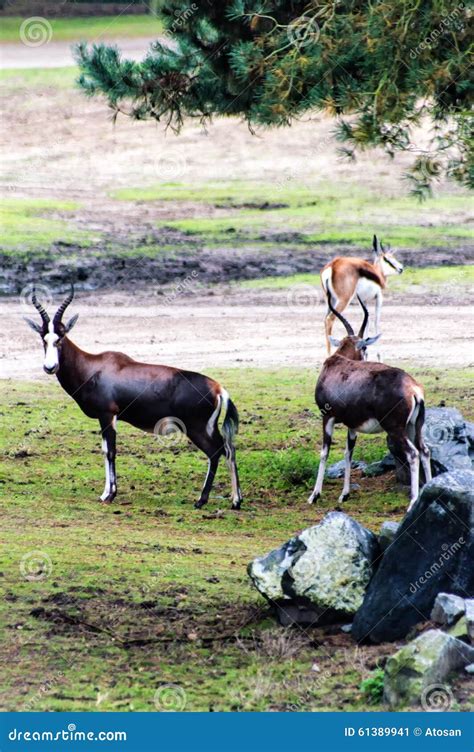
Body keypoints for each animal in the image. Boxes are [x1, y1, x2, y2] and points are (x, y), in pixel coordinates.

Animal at [24, 286, 243, 512]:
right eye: (43, 338)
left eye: (60, 337)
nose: (50, 367)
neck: (94, 366)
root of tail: (218, 388)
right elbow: (106, 450)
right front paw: (105, 494)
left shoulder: (107, 415)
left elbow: (110, 451)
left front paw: (109, 495)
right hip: (208, 428)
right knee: (229, 448)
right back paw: (235, 501)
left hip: (196, 428)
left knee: (216, 451)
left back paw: (202, 500)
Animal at [310, 286, 432, 512]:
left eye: (365, 347)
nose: (365, 356)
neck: (336, 364)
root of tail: (413, 388)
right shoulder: (352, 425)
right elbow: (348, 454)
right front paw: (344, 494)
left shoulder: (327, 417)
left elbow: (324, 452)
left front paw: (314, 495)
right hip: (414, 426)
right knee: (425, 450)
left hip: (395, 429)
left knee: (413, 454)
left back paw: (412, 502)